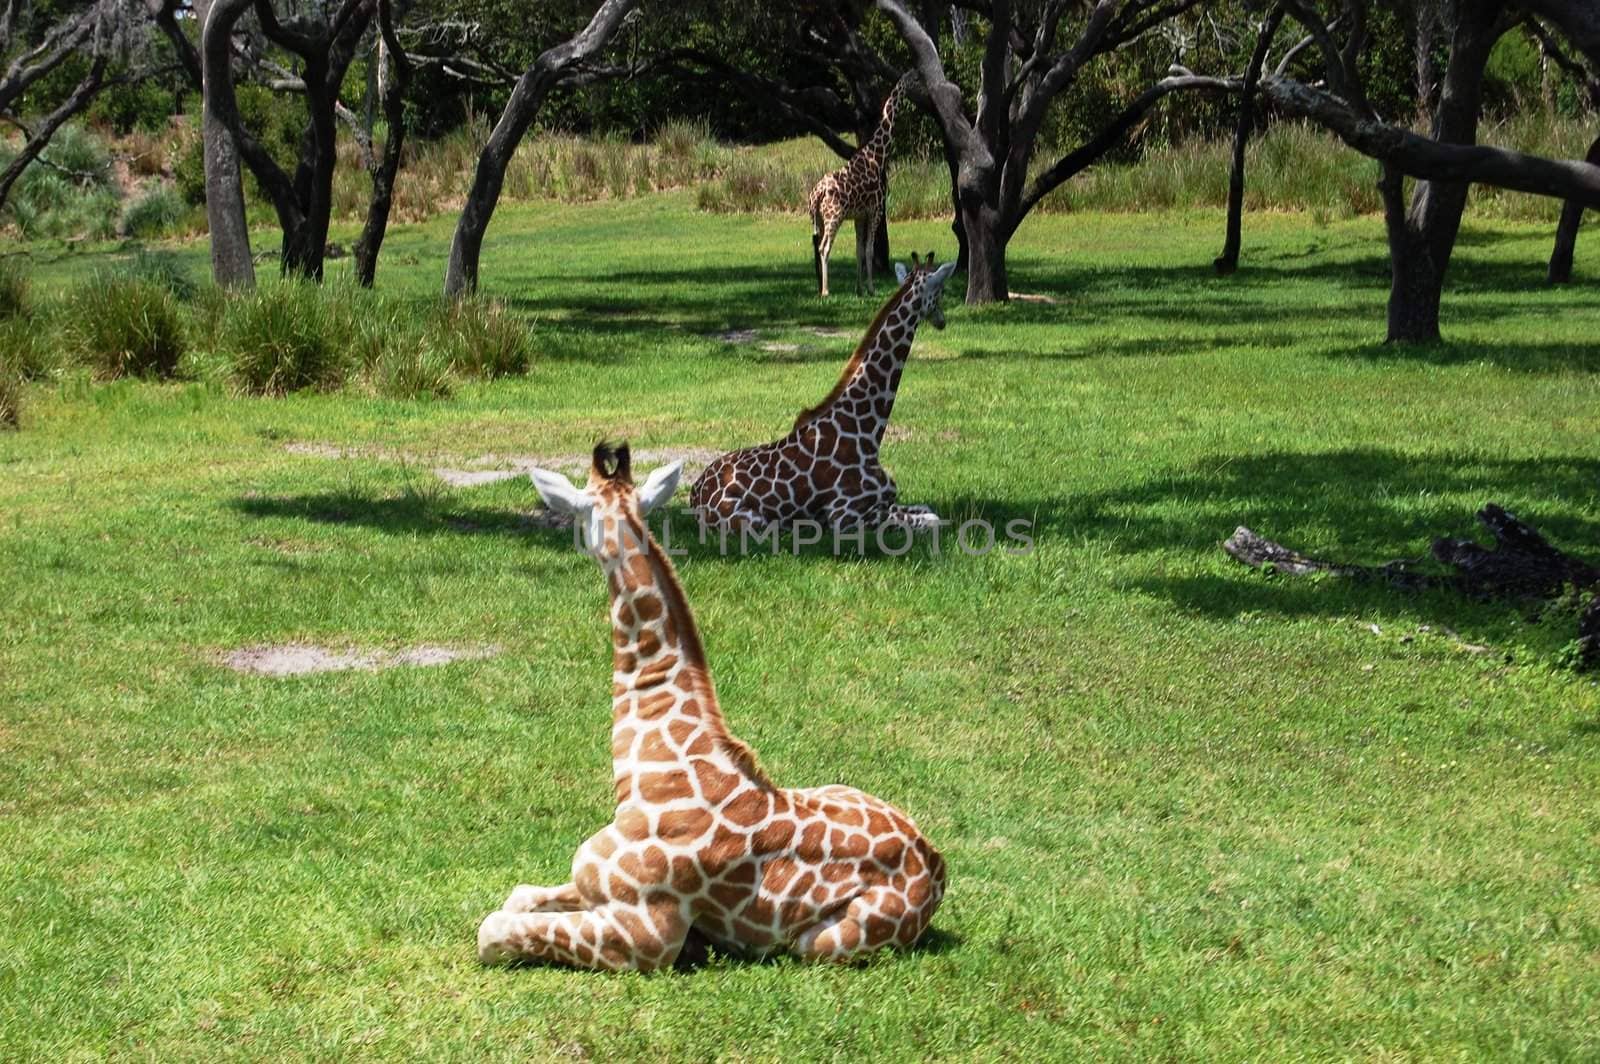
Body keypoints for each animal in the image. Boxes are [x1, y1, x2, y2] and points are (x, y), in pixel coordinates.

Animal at [476, 444, 947, 966]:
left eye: (579, 516)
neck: (652, 765)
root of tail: (938, 870)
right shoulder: (589, 885)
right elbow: (517, 895)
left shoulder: (647, 933)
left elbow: (491, 929)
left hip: (821, 943)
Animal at [691, 249, 960, 531]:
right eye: (941, 290)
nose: (942, 321)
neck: (868, 432)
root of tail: (694, 494)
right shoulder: (844, 514)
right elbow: (932, 520)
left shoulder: (885, 500)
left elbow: (926, 509)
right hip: (756, 521)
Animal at [812, 73, 915, 299]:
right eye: (916, 78)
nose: (921, 85)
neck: (877, 155)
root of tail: (815, 194)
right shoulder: (875, 210)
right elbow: (869, 250)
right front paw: (871, 288)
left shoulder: (859, 215)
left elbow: (859, 250)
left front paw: (859, 288)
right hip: (834, 217)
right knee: (824, 248)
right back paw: (825, 290)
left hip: (819, 219)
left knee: (817, 246)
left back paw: (819, 286)